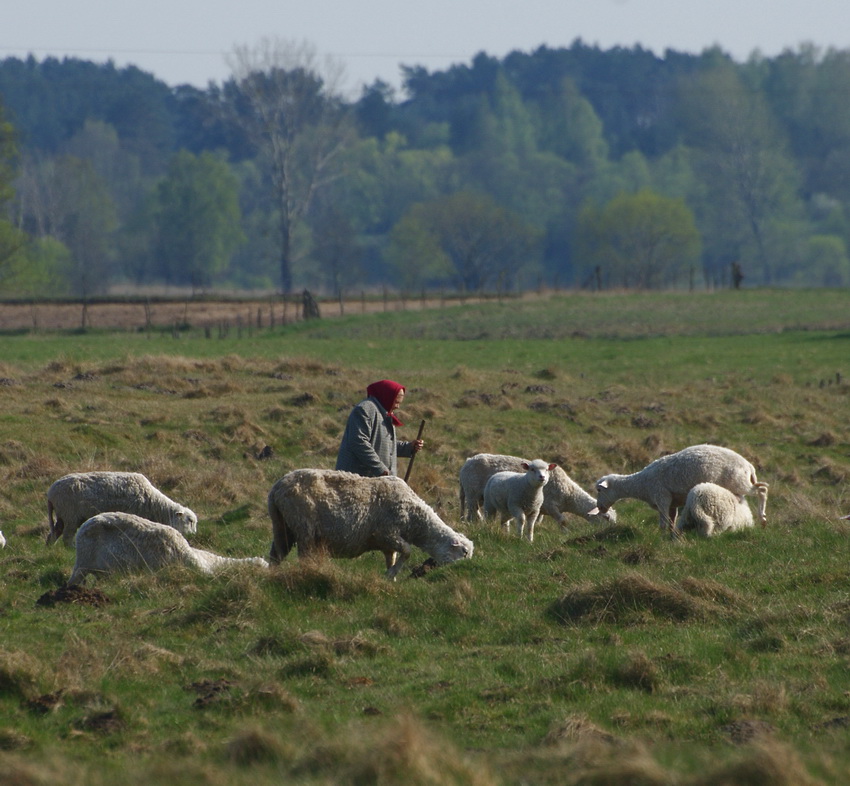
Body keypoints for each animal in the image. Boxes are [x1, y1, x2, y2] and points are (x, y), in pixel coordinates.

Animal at [47, 468, 198, 548]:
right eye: (190, 521)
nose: (193, 535)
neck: (154, 504)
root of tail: (51, 492)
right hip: (70, 515)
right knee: (67, 537)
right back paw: (71, 549)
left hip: (63, 516)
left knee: (54, 534)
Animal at [268, 468, 474, 580]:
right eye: (463, 553)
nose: (460, 570)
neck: (415, 519)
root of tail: (277, 487)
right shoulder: (386, 532)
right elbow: (407, 551)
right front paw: (391, 575)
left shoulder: (387, 543)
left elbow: (393, 558)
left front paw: (391, 576)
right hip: (304, 528)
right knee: (303, 557)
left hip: (282, 526)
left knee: (276, 555)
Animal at [458, 454, 616, 528]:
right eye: (606, 518)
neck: (569, 494)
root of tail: (468, 461)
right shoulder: (551, 505)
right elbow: (563, 521)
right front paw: (566, 532)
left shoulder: (541, 509)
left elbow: (538, 522)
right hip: (472, 493)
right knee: (472, 513)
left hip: (478, 496)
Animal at [588, 440, 768, 532]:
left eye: (599, 490)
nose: (600, 508)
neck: (641, 485)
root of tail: (748, 466)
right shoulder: (672, 503)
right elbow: (671, 522)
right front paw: (672, 537)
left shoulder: (662, 498)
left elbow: (663, 523)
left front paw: (662, 539)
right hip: (740, 484)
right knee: (759, 488)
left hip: (739, 483)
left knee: (762, 490)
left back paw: (763, 518)